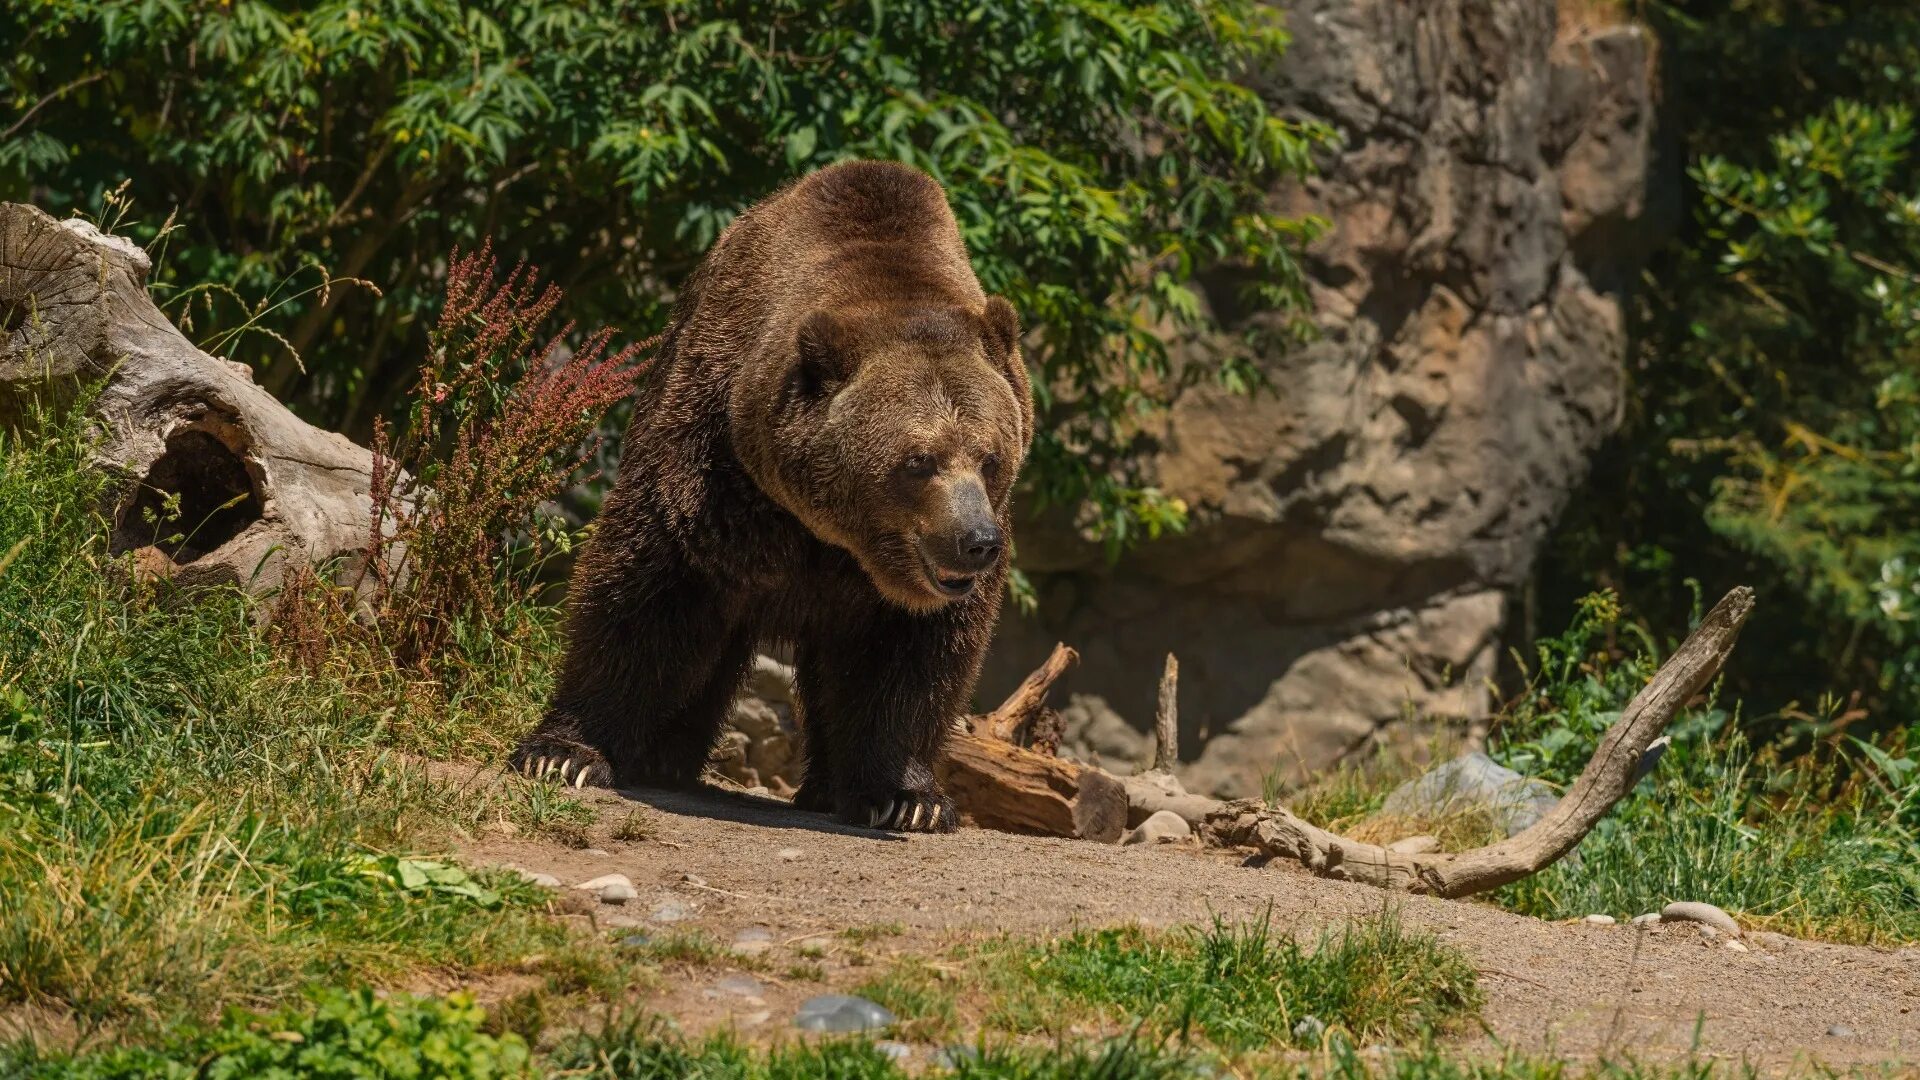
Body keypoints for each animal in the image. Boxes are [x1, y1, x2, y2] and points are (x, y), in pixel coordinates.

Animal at [503, 161, 1029, 834]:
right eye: (919, 460)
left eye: (990, 458)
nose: (975, 543)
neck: (830, 534)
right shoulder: (713, 471)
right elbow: (644, 596)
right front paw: (563, 753)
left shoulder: (899, 588)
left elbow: (916, 657)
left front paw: (909, 798)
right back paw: (663, 756)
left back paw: (829, 787)